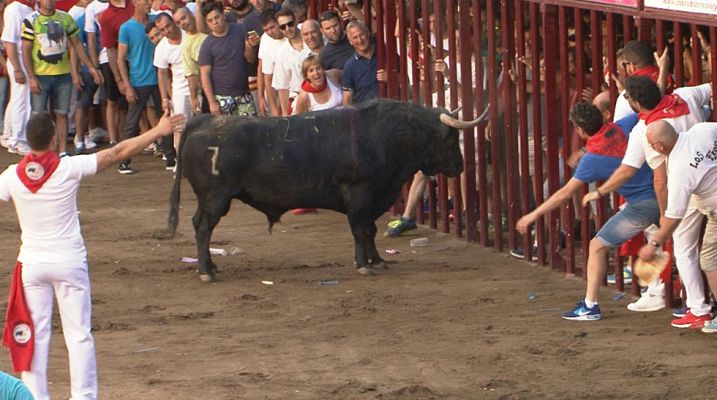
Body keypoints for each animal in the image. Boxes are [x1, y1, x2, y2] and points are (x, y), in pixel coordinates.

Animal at [166, 100, 486, 282]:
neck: (386, 135)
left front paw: (378, 260)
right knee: (203, 227)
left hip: (208, 199)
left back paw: (211, 266)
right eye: (451, 136)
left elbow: (369, 230)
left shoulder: (374, 199)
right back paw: (206, 272)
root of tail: (203, 119)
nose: (459, 166)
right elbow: (360, 229)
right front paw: (363, 265)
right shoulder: (360, 195)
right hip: (216, 198)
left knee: (198, 225)